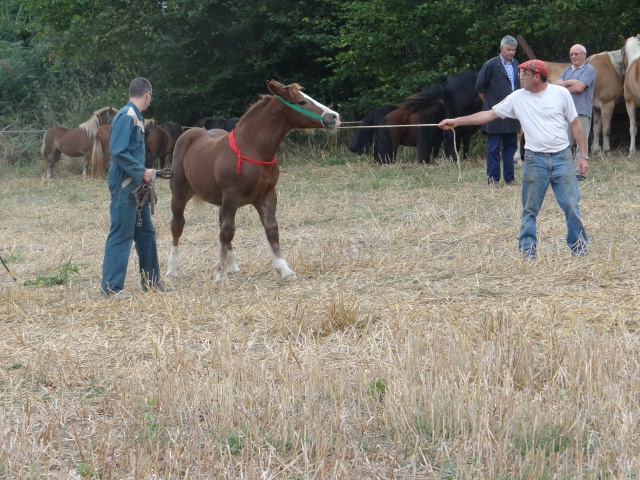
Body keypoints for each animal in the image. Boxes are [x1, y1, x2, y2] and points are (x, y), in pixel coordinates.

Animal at [168, 79, 342, 282]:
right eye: (301, 102)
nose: (334, 117)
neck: (252, 149)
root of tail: (190, 133)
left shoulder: (267, 195)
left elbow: (271, 229)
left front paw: (284, 269)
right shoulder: (232, 195)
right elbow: (227, 232)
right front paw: (218, 275)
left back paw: (232, 266)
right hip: (180, 193)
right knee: (177, 225)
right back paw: (172, 269)